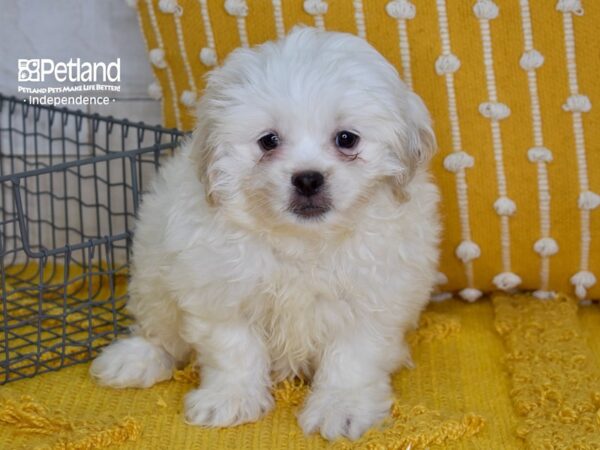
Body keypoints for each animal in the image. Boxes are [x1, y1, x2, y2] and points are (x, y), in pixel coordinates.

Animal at [92, 27, 440, 440]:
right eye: (268, 141)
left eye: (347, 139)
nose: (307, 179)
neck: (303, 240)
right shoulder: (219, 289)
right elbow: (234, 349)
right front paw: (229, 399)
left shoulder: (375, 299)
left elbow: (352, 359)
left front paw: (342, 407)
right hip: (152, 271)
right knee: (160, 330)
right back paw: (136, 358)